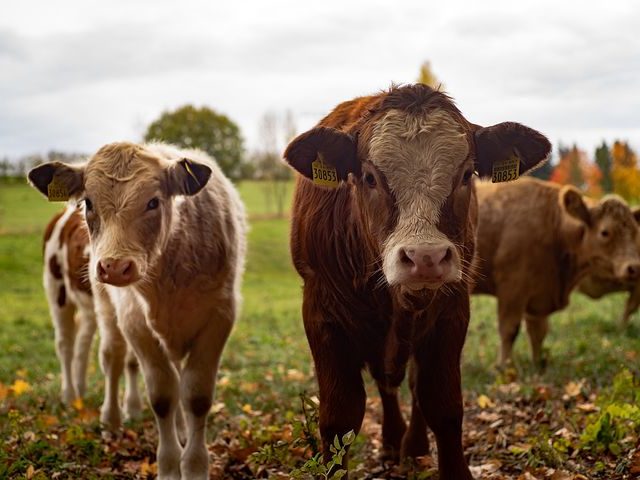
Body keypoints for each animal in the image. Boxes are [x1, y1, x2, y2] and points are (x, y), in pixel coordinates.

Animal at [29, 142, 248, 480]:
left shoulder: (219, 317)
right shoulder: (134, 321)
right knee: (90, 352)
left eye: (153, 202)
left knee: (90, 347)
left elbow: (195, 395)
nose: (114, 267)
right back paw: (90, 406)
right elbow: (162, 394)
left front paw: (194, 464)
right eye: (88, 202)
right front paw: (170, 467)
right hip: (64, 294)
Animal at [284, 84, 552, 478]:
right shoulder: (322, 315)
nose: (425, 257)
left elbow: (442, 404)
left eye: (466, 174)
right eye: (369, 177)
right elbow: (339, 417)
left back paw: (412, 447)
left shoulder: (452, 312)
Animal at [470, 178, 640, 370]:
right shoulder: (512, 290)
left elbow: (538, 332)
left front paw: (537, 365)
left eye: (635, 232)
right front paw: (504, 367)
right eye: (605, 232)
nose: (634, 267)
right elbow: (509, 330)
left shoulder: (539, 295)